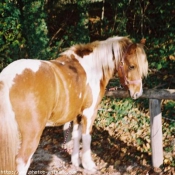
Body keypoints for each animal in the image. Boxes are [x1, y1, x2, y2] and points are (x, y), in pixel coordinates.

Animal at [0, 36, 148, 174]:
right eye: (132, 66)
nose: (138, 93)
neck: (92, 68)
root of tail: (6, 79)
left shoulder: (77, 114)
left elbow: (76, 135)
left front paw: (76, 161)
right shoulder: (89, 112)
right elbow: (86, 137)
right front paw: (88, 164)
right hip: (31, 135)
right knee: (22, 162)